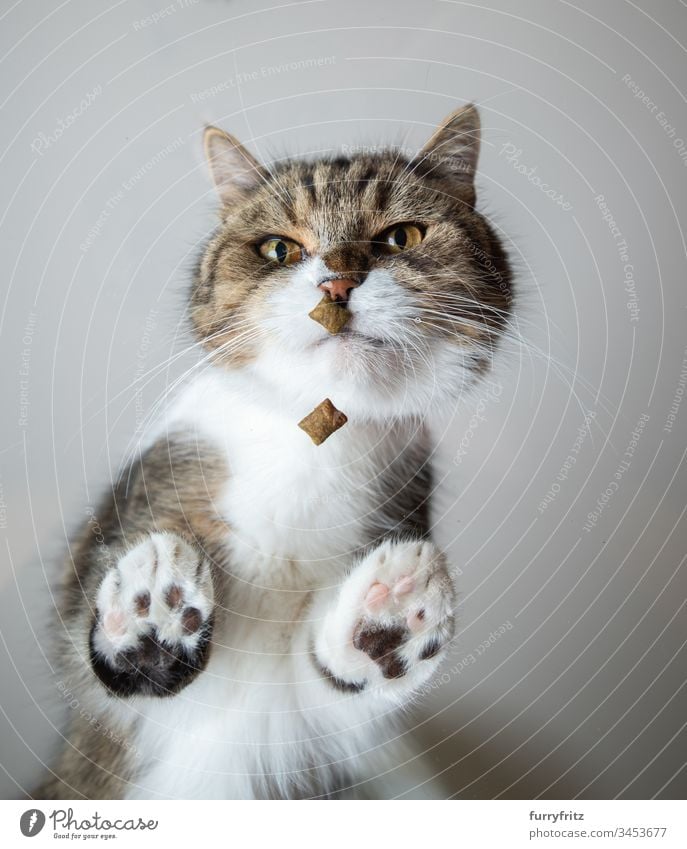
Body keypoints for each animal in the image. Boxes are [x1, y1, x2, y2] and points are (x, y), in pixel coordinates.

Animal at [37, 102, 510, 800]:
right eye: (280, 249)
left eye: (402, 237)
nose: (337, 284)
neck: (312, 448)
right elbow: (103, 672)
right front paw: (152, 604)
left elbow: (335, 689)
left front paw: (389, 619)